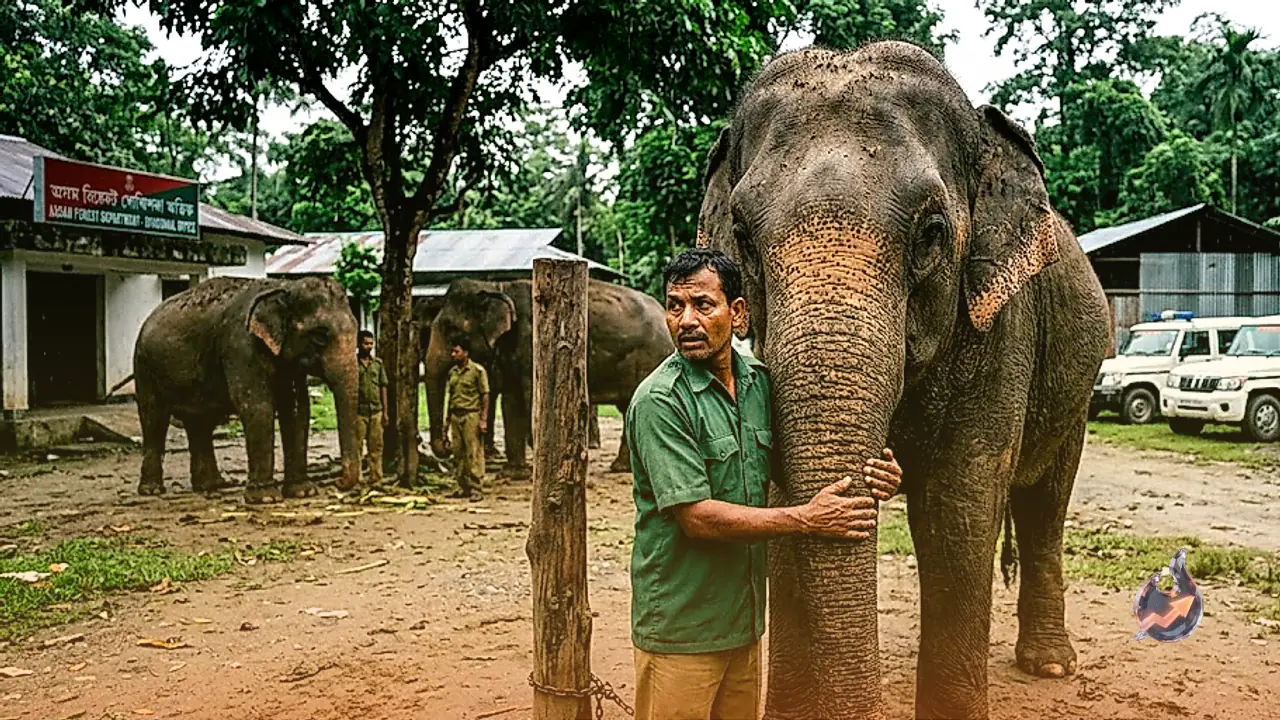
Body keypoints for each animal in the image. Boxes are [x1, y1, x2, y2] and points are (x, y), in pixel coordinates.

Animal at [133, 276, 362, 503]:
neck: (284, 286)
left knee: (200, 422)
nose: (338, 483)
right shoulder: (240, 346)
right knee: (154, 418)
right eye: (320, 336)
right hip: (143, 367)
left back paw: (211, 485)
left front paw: (303, 492)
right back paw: (152, 490)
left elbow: (298, 410)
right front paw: (265, 498)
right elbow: (258, 406)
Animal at [424, 277, 673, 474]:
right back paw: (620, 468)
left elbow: (532, 398)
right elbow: (511, 402)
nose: (446, 445)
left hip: (650, 359)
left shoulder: (533, 343)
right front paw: (513, 474)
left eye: (452, 330)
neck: (498, 286)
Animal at [696, 42, 1110, 719]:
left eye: (931, 234)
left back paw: (1049, 664)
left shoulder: (1000, 328)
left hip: (1078, 383)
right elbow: (781, 500)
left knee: (1044, 501)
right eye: (745, 238)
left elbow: (958, 503)